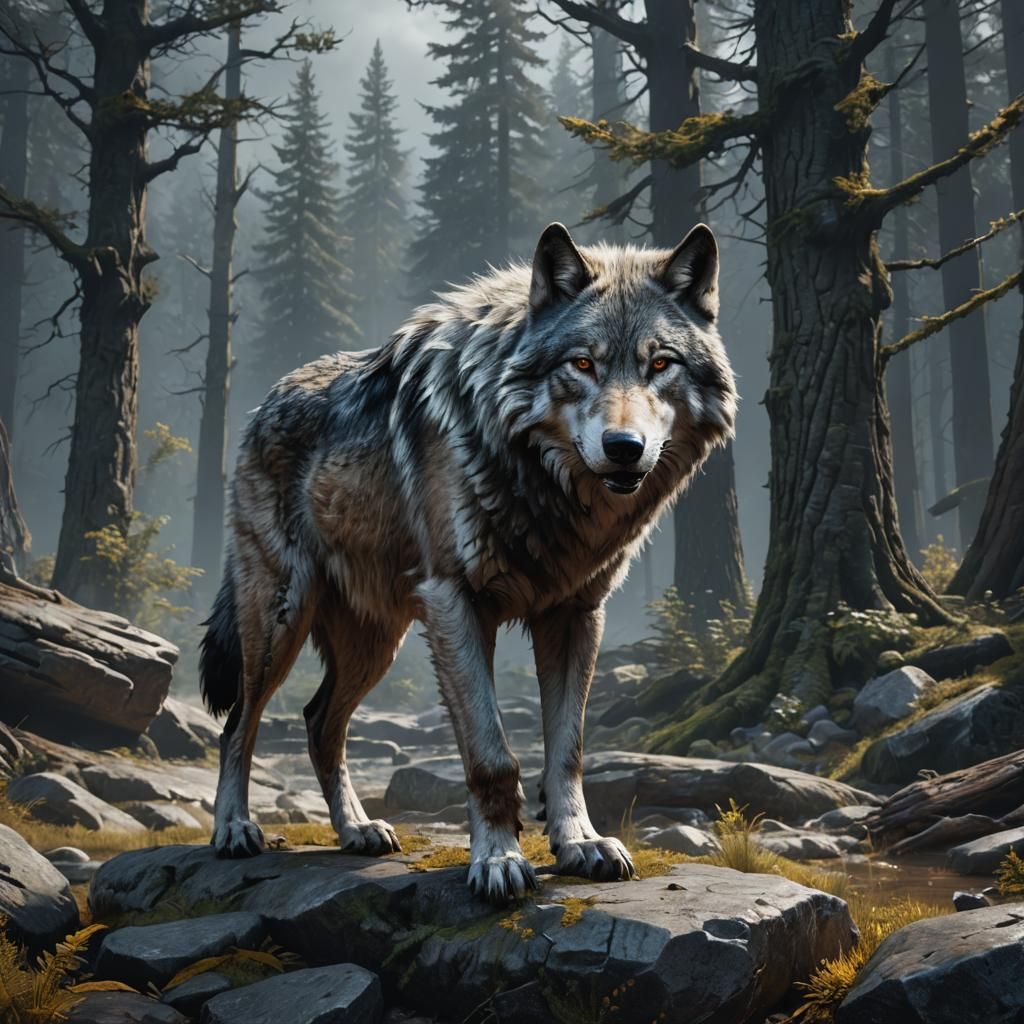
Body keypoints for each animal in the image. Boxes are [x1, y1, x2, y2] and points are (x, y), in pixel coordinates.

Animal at [199, 221, 737, 904]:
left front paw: (581, 844)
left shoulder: (576, 615)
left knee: (319, 722)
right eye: (582, 364)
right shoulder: (456, 603)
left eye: (660, 364)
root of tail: (265, 399)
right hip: (281, 619)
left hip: (376, 643)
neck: (546, 487)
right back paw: (234, 828)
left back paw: (357, 830)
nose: (624, 447)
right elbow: (491, 754)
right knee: (238, 725)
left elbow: (567, 751)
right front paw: (499, 859)